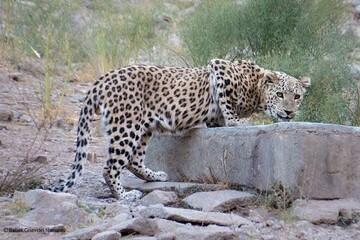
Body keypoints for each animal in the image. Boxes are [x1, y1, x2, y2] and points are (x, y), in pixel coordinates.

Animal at [49, 58, 310, 201]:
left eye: (296, 97)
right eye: (280, 94)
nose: (289, 112)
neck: (256, 91)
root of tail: (101, 80)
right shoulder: (219, 68)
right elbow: (227, 105)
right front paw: (239, 122)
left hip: (144, 127)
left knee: (133, 161)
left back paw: (156, 176)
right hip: (126, 126)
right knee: (111, 167)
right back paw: (124, 196)